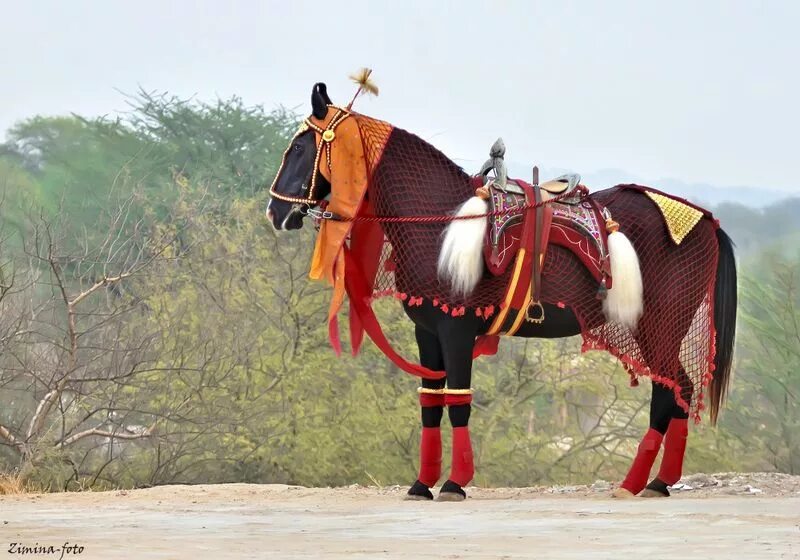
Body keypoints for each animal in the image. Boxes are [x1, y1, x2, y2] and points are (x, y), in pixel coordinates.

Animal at [266, 72, 736, 500]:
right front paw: (421, 484)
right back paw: (659, 481)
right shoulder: (428, 331)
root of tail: (705, 220)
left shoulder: (457, 328)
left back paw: (639, 482)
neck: (439, 219)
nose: (275, 212)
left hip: (660, 326)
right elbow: (430, 402)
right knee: (678, 390)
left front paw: (454, 483)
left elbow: (458, 400)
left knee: (670, 391)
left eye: (300, 148)